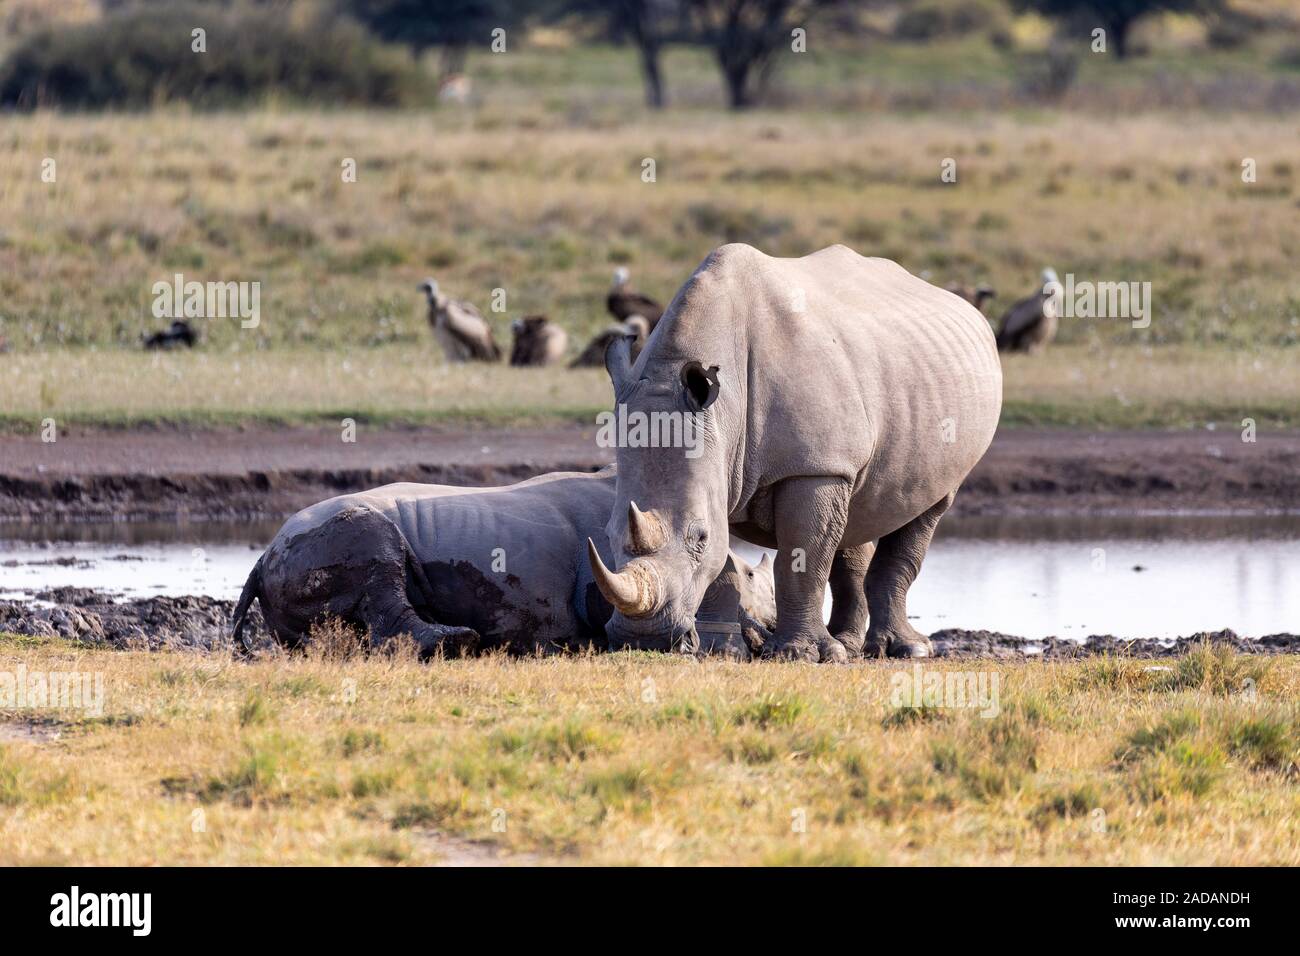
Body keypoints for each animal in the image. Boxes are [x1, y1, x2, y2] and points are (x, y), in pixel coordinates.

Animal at [228, 468, 774, 660]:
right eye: (751, 579)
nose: (769, 630)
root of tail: (261, 556)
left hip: (293, 551)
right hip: (324, 533)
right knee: (379, 560)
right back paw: (459, 643)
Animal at [590, 247, 1003, 660]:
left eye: (700, 537)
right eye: (607, 534)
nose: (643, 638)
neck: (722, 412)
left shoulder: (813, 468)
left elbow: (802, 556)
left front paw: (799, 654)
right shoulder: (723, 465)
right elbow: (725, 569)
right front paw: (719, 649)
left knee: (927, 507)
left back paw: (903, 650)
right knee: (858, 510)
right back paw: (848, 645)